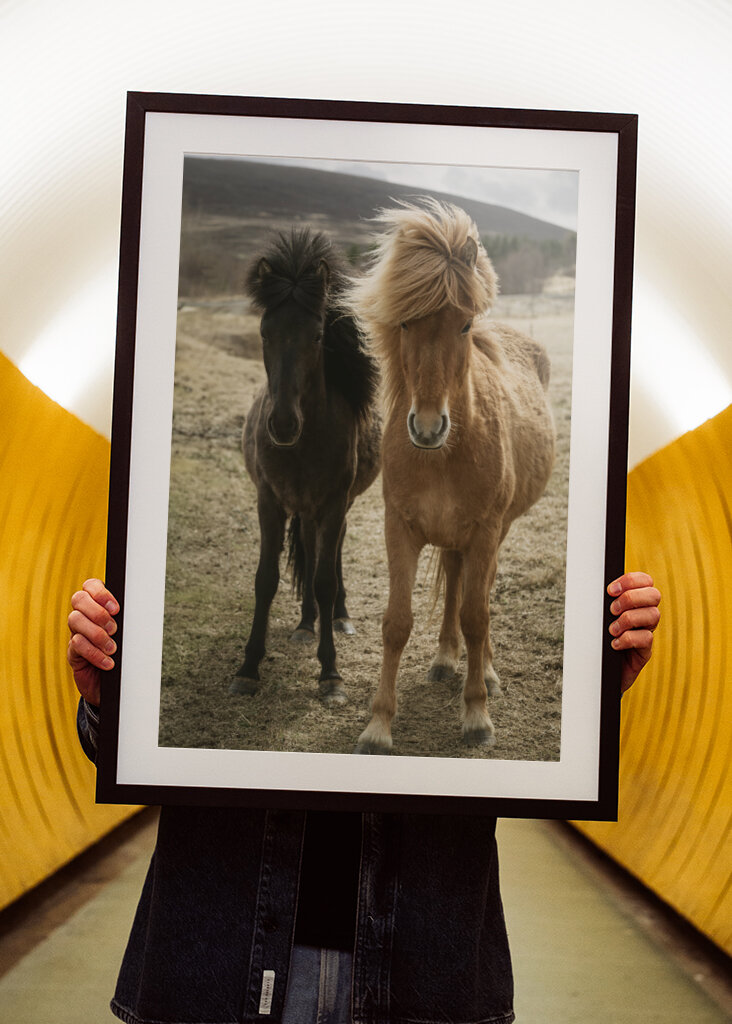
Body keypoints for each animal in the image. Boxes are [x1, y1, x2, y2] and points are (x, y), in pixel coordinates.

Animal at [230, 228, 381, 705]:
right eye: (264, 333)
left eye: (317, 336)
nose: (281, 424)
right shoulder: (269, 501)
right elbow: (266, 579)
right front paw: (248, 668)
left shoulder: (333, 503)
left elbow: (326, 580)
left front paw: (330, 675)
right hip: (305, 510)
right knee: (312, 554)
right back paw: (305, 623)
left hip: (335, 508)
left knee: (330, 559)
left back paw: (339, 617)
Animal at [345, 199, 556, 751]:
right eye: (403, 325)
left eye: (463, 326)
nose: (427, 426)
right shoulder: (399, 529)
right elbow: (397, 622)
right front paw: (378, 724)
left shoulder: (484, 530)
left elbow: (477, 617)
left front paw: (477, 713)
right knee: (457, 584)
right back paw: (444, 659)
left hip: (497, 531)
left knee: (478, 596)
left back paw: (488, 673)